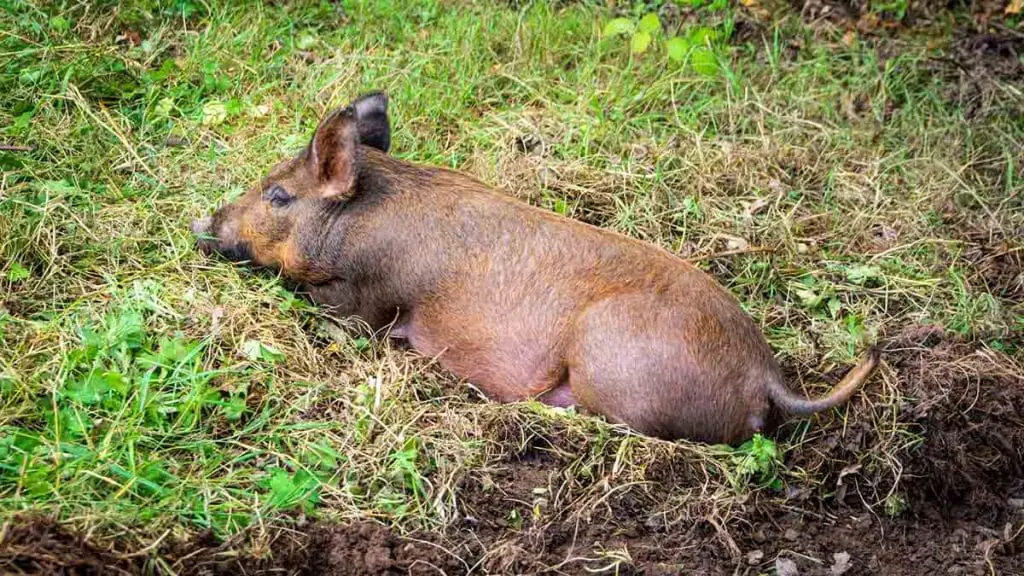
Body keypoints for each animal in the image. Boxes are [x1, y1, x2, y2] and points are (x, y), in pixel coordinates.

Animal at [191, 91, 879, 445]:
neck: (355, 222)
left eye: (279, 196)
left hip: (610, 360)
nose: (203, 224)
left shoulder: (365, 299)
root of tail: (767, 377)